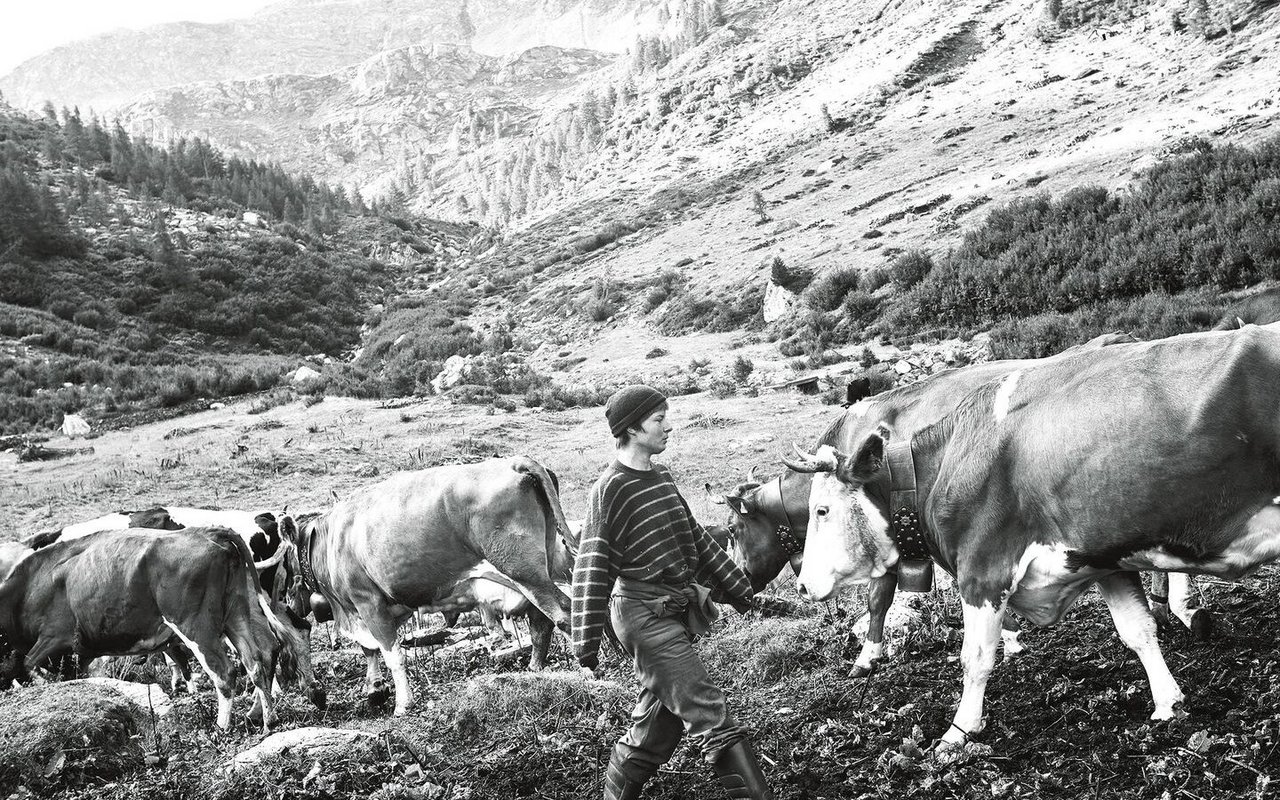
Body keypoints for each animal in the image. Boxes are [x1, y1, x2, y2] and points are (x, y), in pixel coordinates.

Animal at [0, 524, 317, 732]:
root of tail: (211, 531)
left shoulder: (55, 637)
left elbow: (31, 665)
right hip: (238, 613)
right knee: (260, 656)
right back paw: (267, 718)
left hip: (196, 626)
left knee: (226, 672)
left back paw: (222, 726)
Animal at [290, 455, 576, 711]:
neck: (329, 541)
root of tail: (514, 462)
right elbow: (370, 648)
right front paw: (375, 690)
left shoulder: (367, 601)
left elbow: (391, 653)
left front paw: (403, 704)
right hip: (542, 569)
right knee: (542, 621)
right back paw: (535, 668)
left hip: (524, 571)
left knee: (563, 612)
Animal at [783, 321, 1280, 747]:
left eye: (821, 510)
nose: (802, 584)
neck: (946, 462)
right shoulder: (1103, 560)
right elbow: (1138, 631)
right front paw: (1167, 704)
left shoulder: (983, 570)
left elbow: (975, 658)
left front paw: (958, 733)